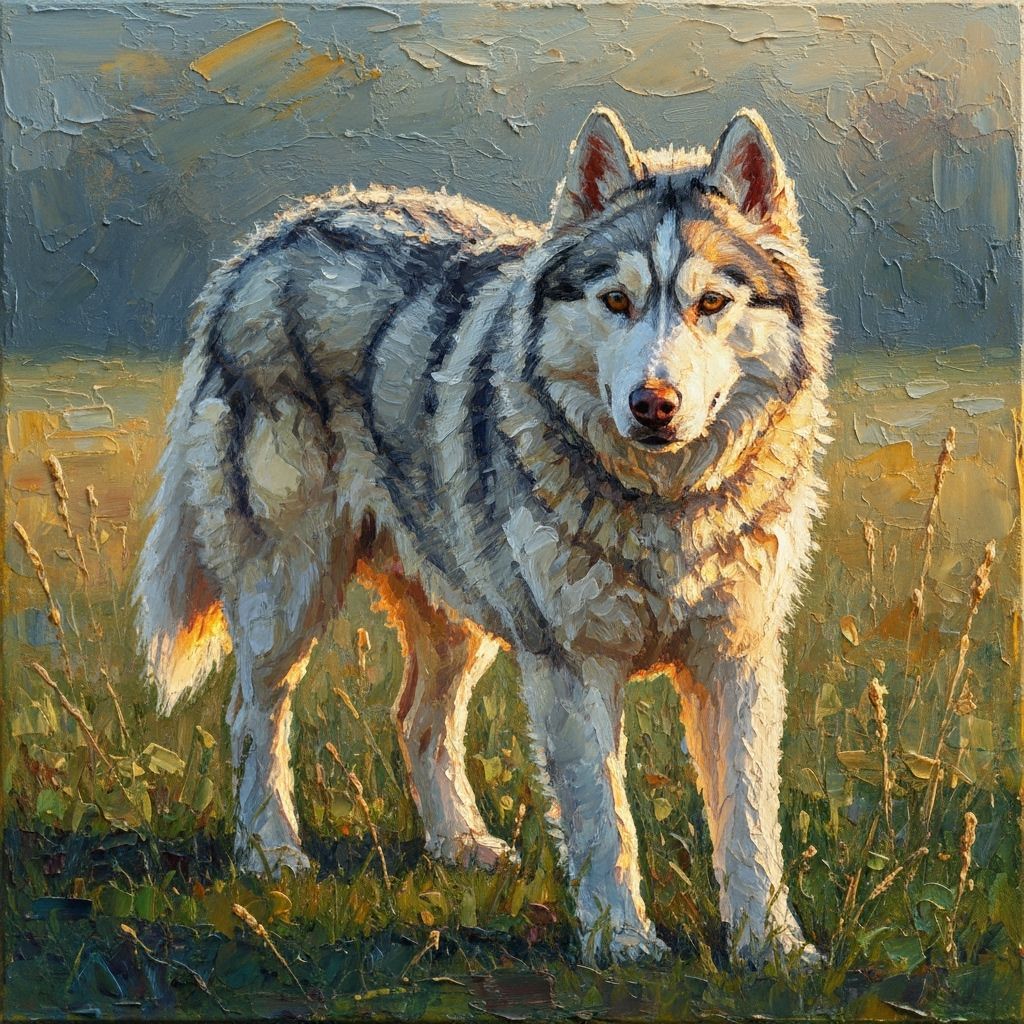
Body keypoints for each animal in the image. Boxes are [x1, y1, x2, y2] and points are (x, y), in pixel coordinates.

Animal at [134, 106, 832, 965]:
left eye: (710, 304)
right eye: (616, 300)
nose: (653, 403)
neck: (661, 503)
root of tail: (265, 245)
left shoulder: (737, 658)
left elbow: (749, 820)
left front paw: (773, 948)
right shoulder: (572, 666)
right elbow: (605, 820)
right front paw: (621, 943)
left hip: (458, 616)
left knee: (415, 720)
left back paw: (459, 845)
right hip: (289, 595)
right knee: (252, 714)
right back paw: (270, 853)